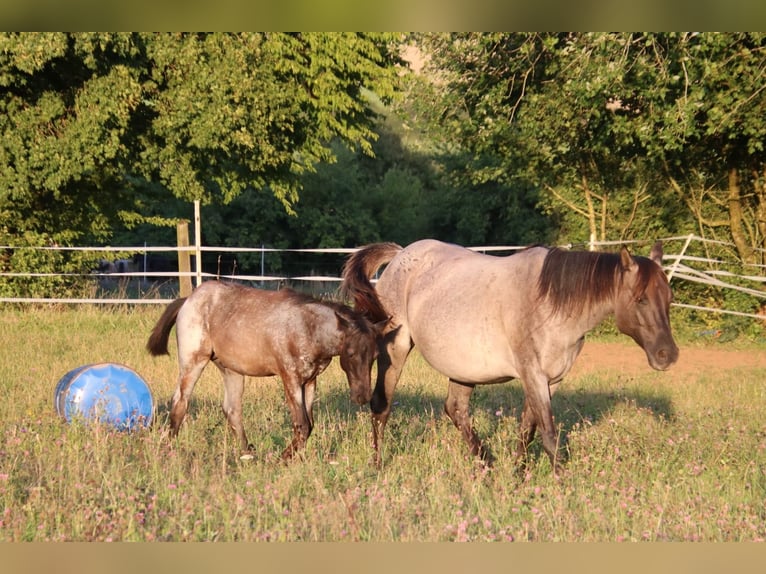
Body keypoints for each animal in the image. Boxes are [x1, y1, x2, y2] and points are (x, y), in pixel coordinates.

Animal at [146, 280, 381, 460]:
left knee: (232, 410)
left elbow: (309, 425)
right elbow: (302, 424)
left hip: (231, 370)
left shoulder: (310, 381)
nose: (362, 397)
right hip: (193, 362)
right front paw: (283, 458)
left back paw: (248, 455)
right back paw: (169, 450)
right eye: (350, 353)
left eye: (375, 356)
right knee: (180, 402)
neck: (307, 327)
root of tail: (188, 299)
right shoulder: (290, 378)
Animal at [341, 239, 679, 474]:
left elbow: (528, 430)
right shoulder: (533, 375)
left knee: (456, 410)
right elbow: (549, 435)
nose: (668, 355)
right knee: (381, 406)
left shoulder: (551, 379)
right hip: (395, 350)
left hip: (463, 368)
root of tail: (400, 254)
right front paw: (563, 485)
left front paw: (519, 475)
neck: (550, 305)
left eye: (669, 297)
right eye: (640, 299)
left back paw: (486, 464)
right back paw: (377, 465)